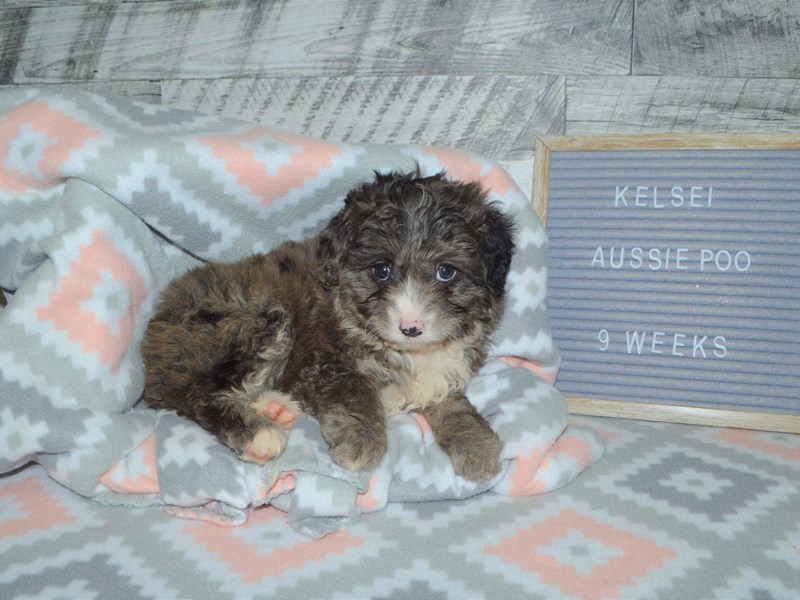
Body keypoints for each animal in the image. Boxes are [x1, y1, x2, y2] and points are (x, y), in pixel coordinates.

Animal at [141, 170, 516, 482]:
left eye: (446, 271)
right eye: (381, 270)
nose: (412, 327)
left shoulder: (441, 371)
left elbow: (453, 403)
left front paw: (476, 444)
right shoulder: (323, 366)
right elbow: (356, 391)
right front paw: (362, 441)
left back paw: (274, 408)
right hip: (256, 318)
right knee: (198, 394)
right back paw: (259, 434)